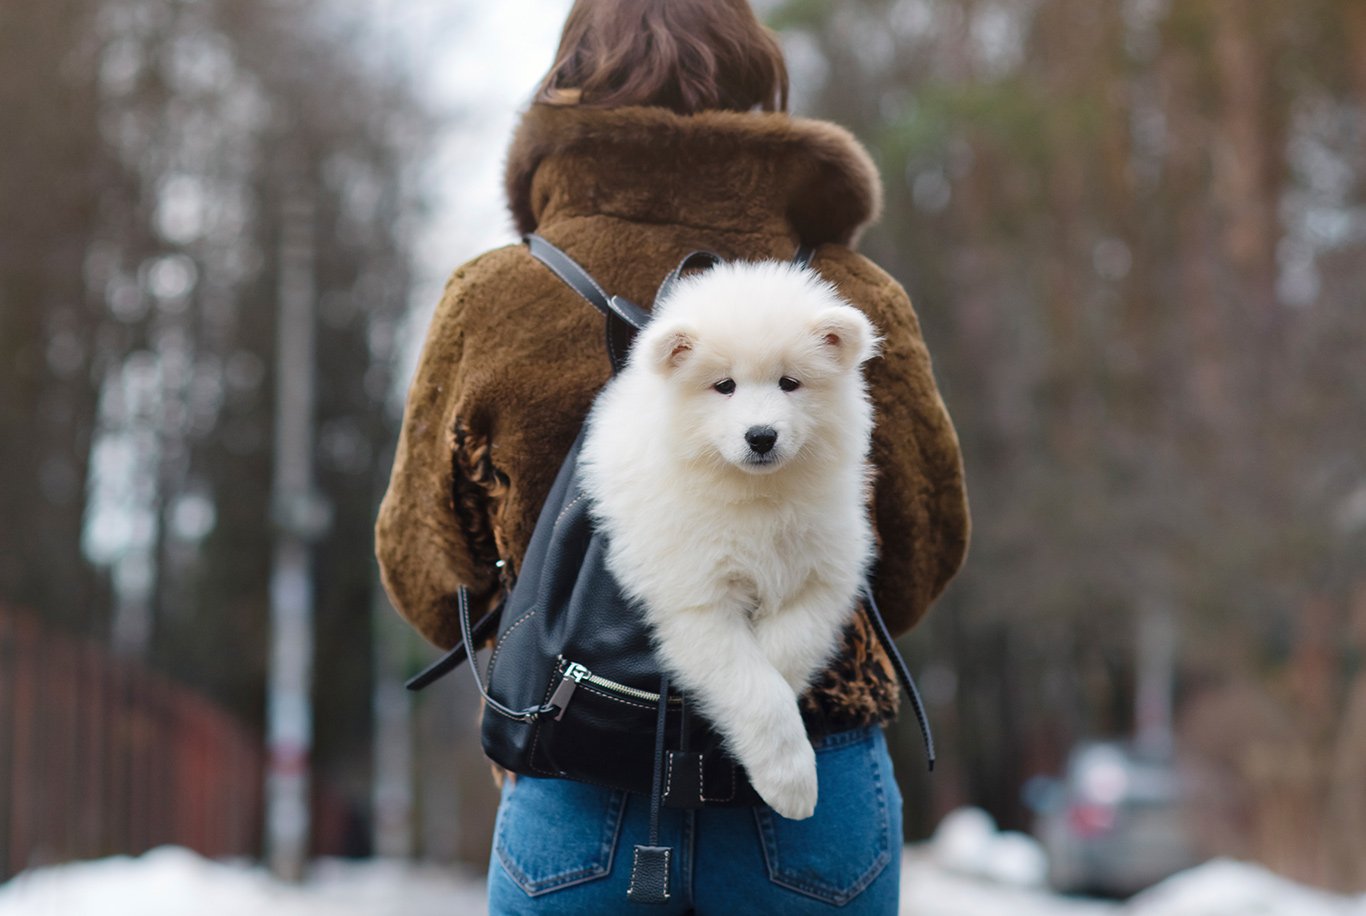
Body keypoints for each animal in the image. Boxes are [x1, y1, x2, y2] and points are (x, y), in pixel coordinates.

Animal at [579, 256, 879, 819]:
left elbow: (782, 655)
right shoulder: (696, 596)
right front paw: (791, 784)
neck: (755, 496)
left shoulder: (823, 571)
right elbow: (754, 685)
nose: (761, 436)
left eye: (790, 382)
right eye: (724, 386)